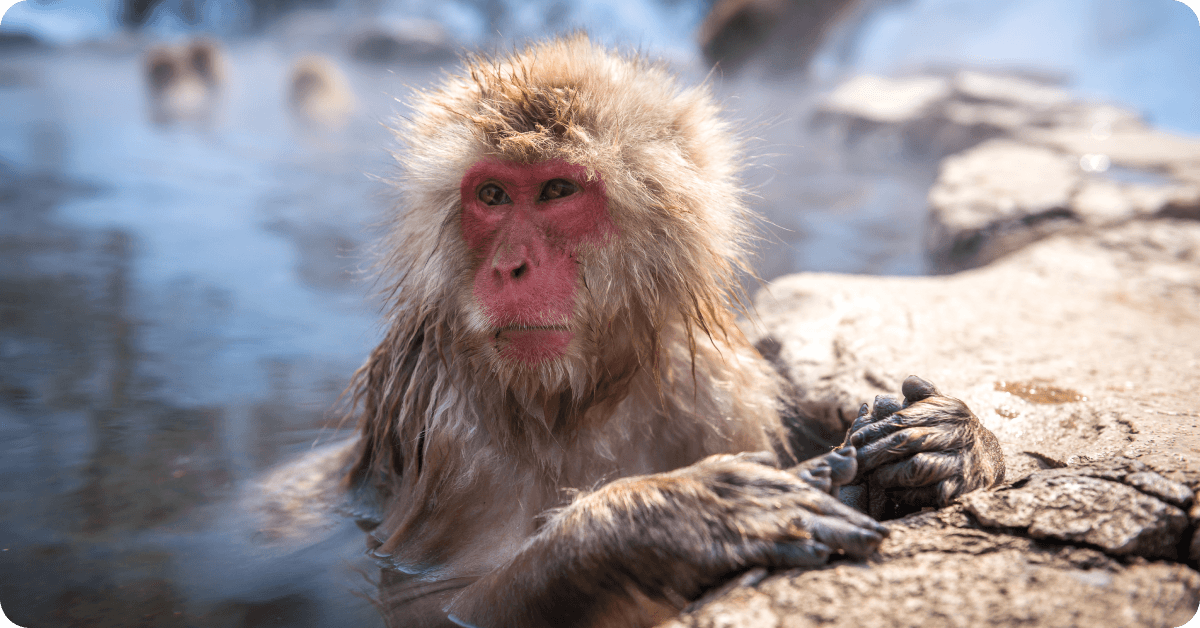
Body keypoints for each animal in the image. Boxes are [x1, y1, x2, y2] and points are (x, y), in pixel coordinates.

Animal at [343, 34, 1004, 628]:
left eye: (556, 190)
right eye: (492, 195)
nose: (509, 267)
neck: (580, 397)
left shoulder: (721, 394)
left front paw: (951, 439)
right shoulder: (451, 433)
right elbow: (431, 601)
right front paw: (673, 517)